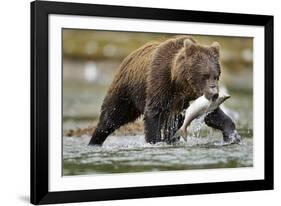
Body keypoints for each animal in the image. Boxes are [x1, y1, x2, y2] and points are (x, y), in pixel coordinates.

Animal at [88, 35, 240, 145]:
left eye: (216, 75)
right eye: (205, 75)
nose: (214, 93)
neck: (180, 84)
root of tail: (129, 56)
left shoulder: (190, 98)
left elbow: (213, 115)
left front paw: (233, 136)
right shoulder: (160, 82)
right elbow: (153, 113)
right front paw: (155, 142)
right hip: (126, 91)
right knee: (111, 117)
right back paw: (94, 142)